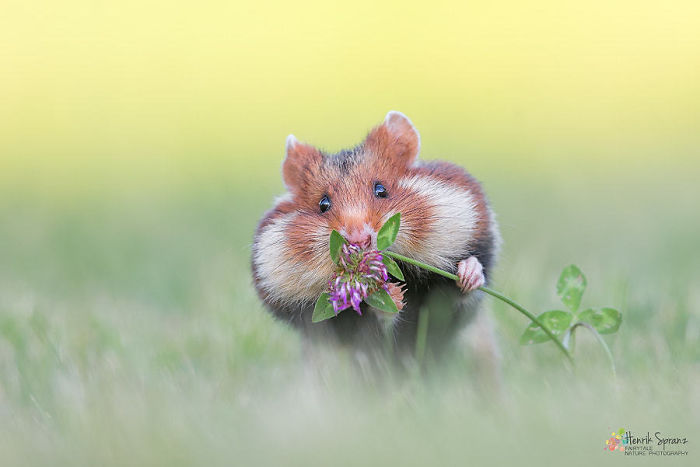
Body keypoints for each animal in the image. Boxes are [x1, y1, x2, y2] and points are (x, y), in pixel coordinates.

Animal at [251, 111, 501, 362]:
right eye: (323, 204)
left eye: (381, 190)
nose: (359, 240)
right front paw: (395, 294)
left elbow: (463, 289)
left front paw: (468, 274)